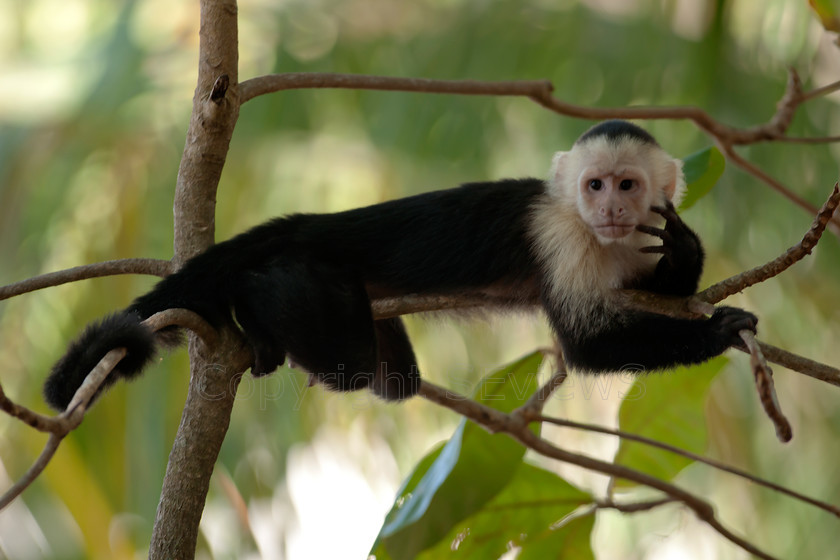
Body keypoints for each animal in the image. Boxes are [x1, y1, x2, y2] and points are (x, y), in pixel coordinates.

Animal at [42, 121, 756, 412]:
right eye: (594, 185)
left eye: (628, 186)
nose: (609, 208)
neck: (601, 235)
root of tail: (319, 222)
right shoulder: (562, 236)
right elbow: (584, 346)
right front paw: (718, 333)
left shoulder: (637, 236)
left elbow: (660, 286)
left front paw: (687, 258)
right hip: (317, 266)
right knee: (343, 352)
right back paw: (252, 301)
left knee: (389, 377)